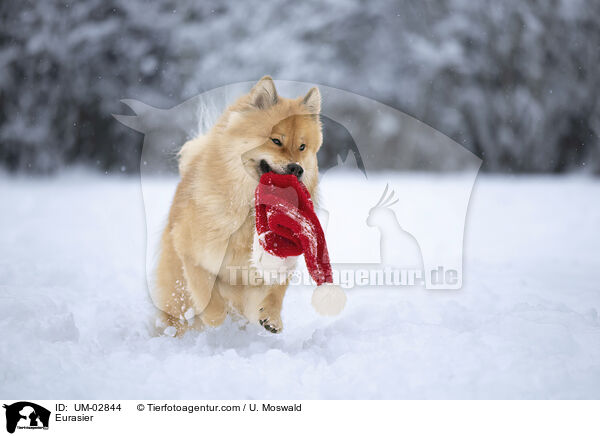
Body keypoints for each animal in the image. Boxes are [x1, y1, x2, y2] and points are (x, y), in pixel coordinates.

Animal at [155, 76, 324, 336]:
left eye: (302, 147)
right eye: (276, 141)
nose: (297, 168)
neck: (252, 213)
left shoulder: (277, 261)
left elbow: (276, 291)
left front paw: (272, 317)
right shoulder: (192, 254)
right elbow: (208, 296)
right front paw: (216, 319)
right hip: (177, 291)